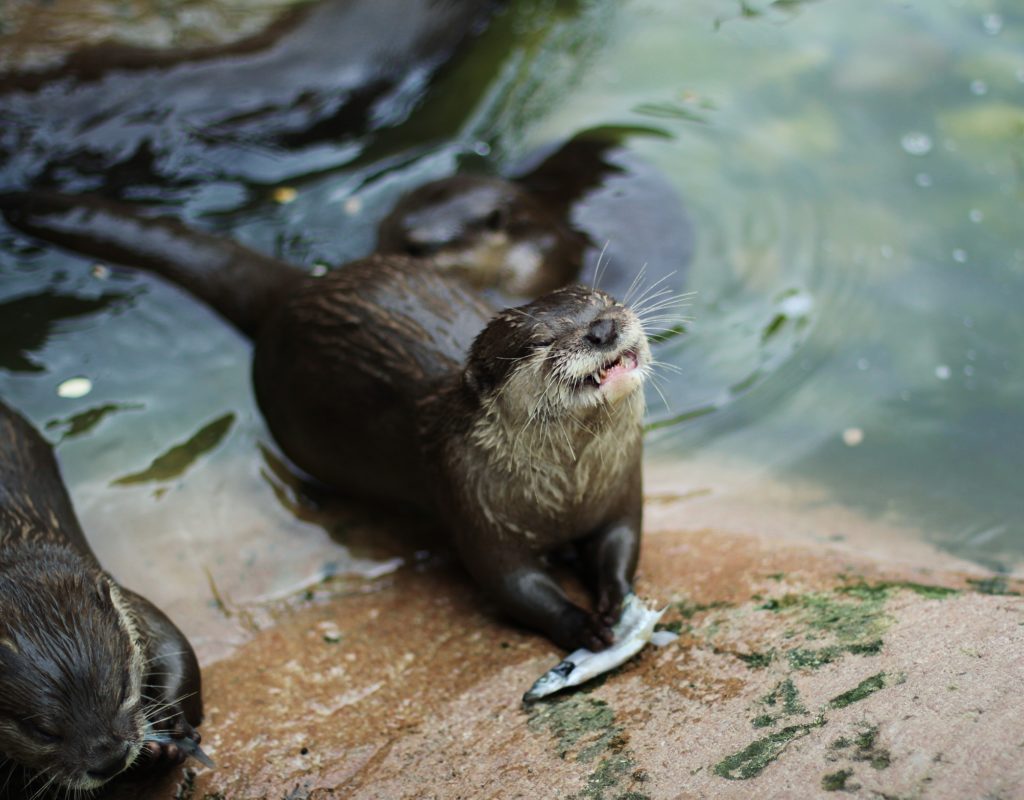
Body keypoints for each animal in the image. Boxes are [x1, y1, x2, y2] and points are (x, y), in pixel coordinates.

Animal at [0, 399, 203, 790]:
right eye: (43, 731)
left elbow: (176, 646)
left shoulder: (124, 597)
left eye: (124, 689)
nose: (110, 760)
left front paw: (170, 723)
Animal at [2, 191, 655, 647]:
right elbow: (515, 587)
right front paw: (581, 625)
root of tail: (296, 290)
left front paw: (617, 598)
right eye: (540, 341)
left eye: (603, 302)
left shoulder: (622, 486)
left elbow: (623, 543)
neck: (566, 492)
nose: (603, 328)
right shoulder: (474, 508)